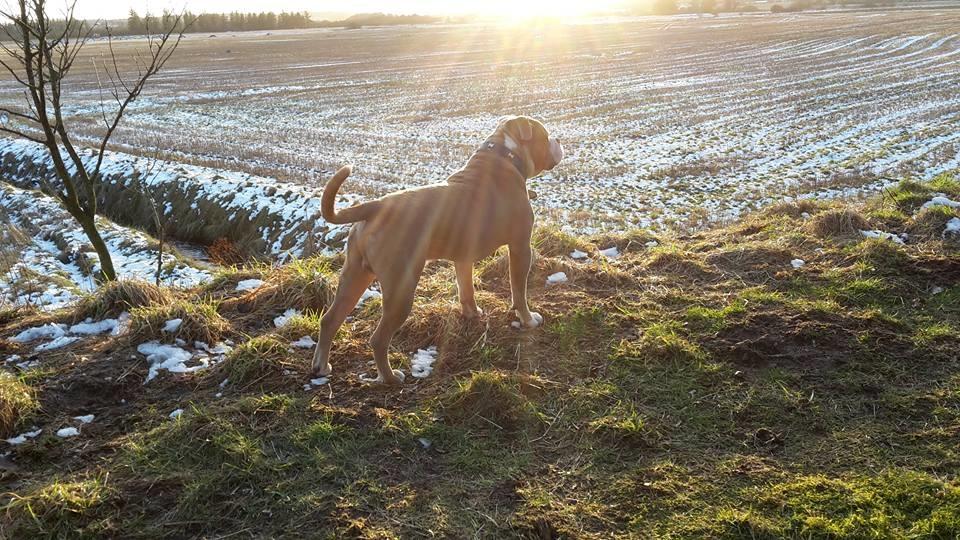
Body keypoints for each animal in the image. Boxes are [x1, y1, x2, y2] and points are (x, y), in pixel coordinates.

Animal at [312, 115, 564, 384]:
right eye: (545, 135)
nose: (558, 140)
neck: (504, 155)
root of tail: (376, 206)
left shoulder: (463, 257)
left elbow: (466, 289)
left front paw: (472, 314)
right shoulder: (520, 247)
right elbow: (519, 291)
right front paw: (528, 320)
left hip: (355, 275)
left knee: (330, 319)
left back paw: (321, 366)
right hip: (400, 289)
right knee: (378, 339)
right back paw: (390, 377)